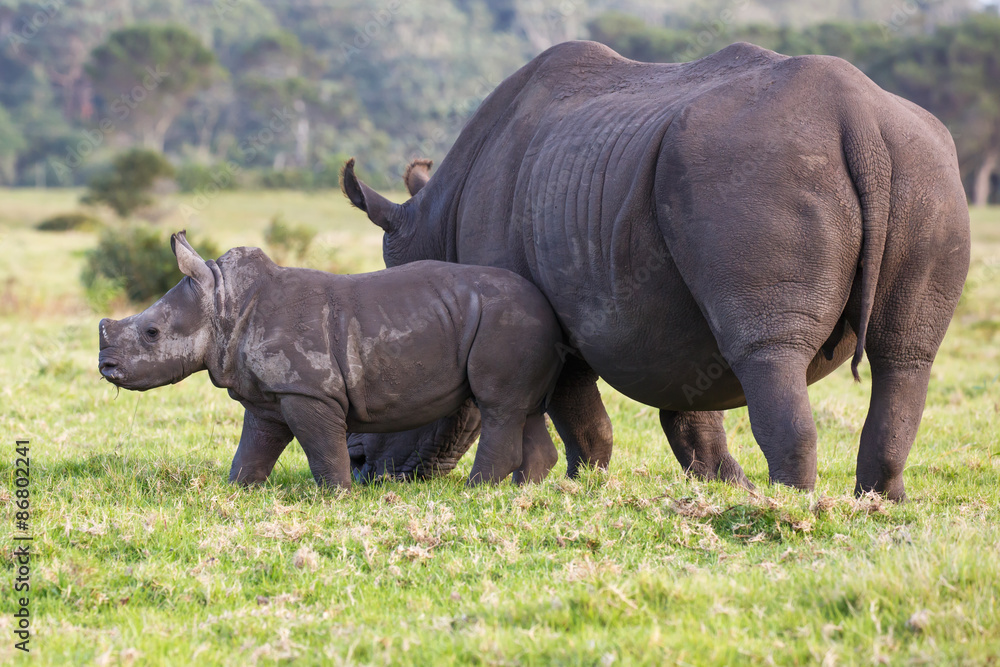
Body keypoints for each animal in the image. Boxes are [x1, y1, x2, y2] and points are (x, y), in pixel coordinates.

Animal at [97, 232, 565, 488]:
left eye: (152, 333)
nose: (106, 368)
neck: (225, 303)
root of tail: (547, 306)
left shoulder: (309, 391)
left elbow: (322, 447)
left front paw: (337, 495)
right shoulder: (270, 395)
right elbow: (253, 447)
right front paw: (239, 489)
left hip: (507, 320)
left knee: (498, 404)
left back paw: (476, 489)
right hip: (517, 321)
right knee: (522, 408)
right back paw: (522, 489)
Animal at [342, 40, 971, 501]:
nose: (360, 466)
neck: (438, 228)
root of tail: (858, 119)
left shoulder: (535, 315)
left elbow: (574, 409)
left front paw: (572, 484)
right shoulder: (663, 319)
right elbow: (688, 409)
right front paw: (723, 484)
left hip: (763, 169)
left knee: (768, 352)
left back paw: (790, 503)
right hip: (925, 168)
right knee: (906, 354)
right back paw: (878, 503)